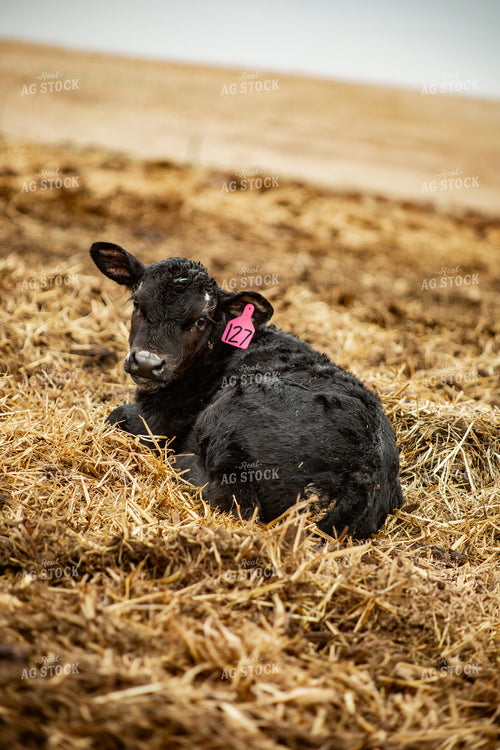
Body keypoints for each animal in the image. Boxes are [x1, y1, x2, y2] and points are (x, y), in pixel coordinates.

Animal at [90, 241, 404, 538]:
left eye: (201, 320)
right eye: (137, 304)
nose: (146, 363)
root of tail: (365, 473)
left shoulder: (154, 423)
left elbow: (115, 416)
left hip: (229, 419)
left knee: (235, 502)